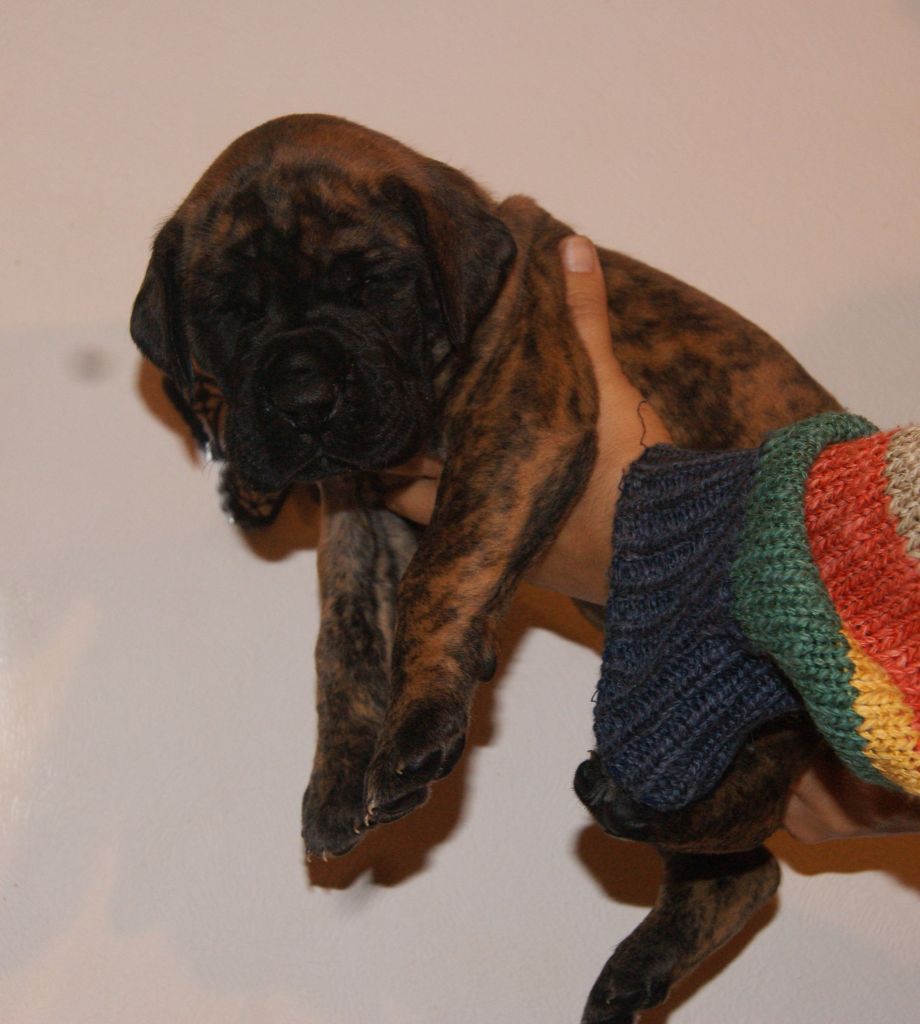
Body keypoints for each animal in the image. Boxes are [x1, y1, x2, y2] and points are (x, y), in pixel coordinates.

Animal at [131, 114, 837, 1022]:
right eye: (229, 311)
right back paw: (642, 949)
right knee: (750, 866)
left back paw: (632, 806)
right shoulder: (359, 505)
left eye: (373, 282)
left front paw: (418, 723)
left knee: (755, 796)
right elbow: (345, 641)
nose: (303, 398)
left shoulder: (516, 418)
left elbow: (442, 568)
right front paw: (340, 776)